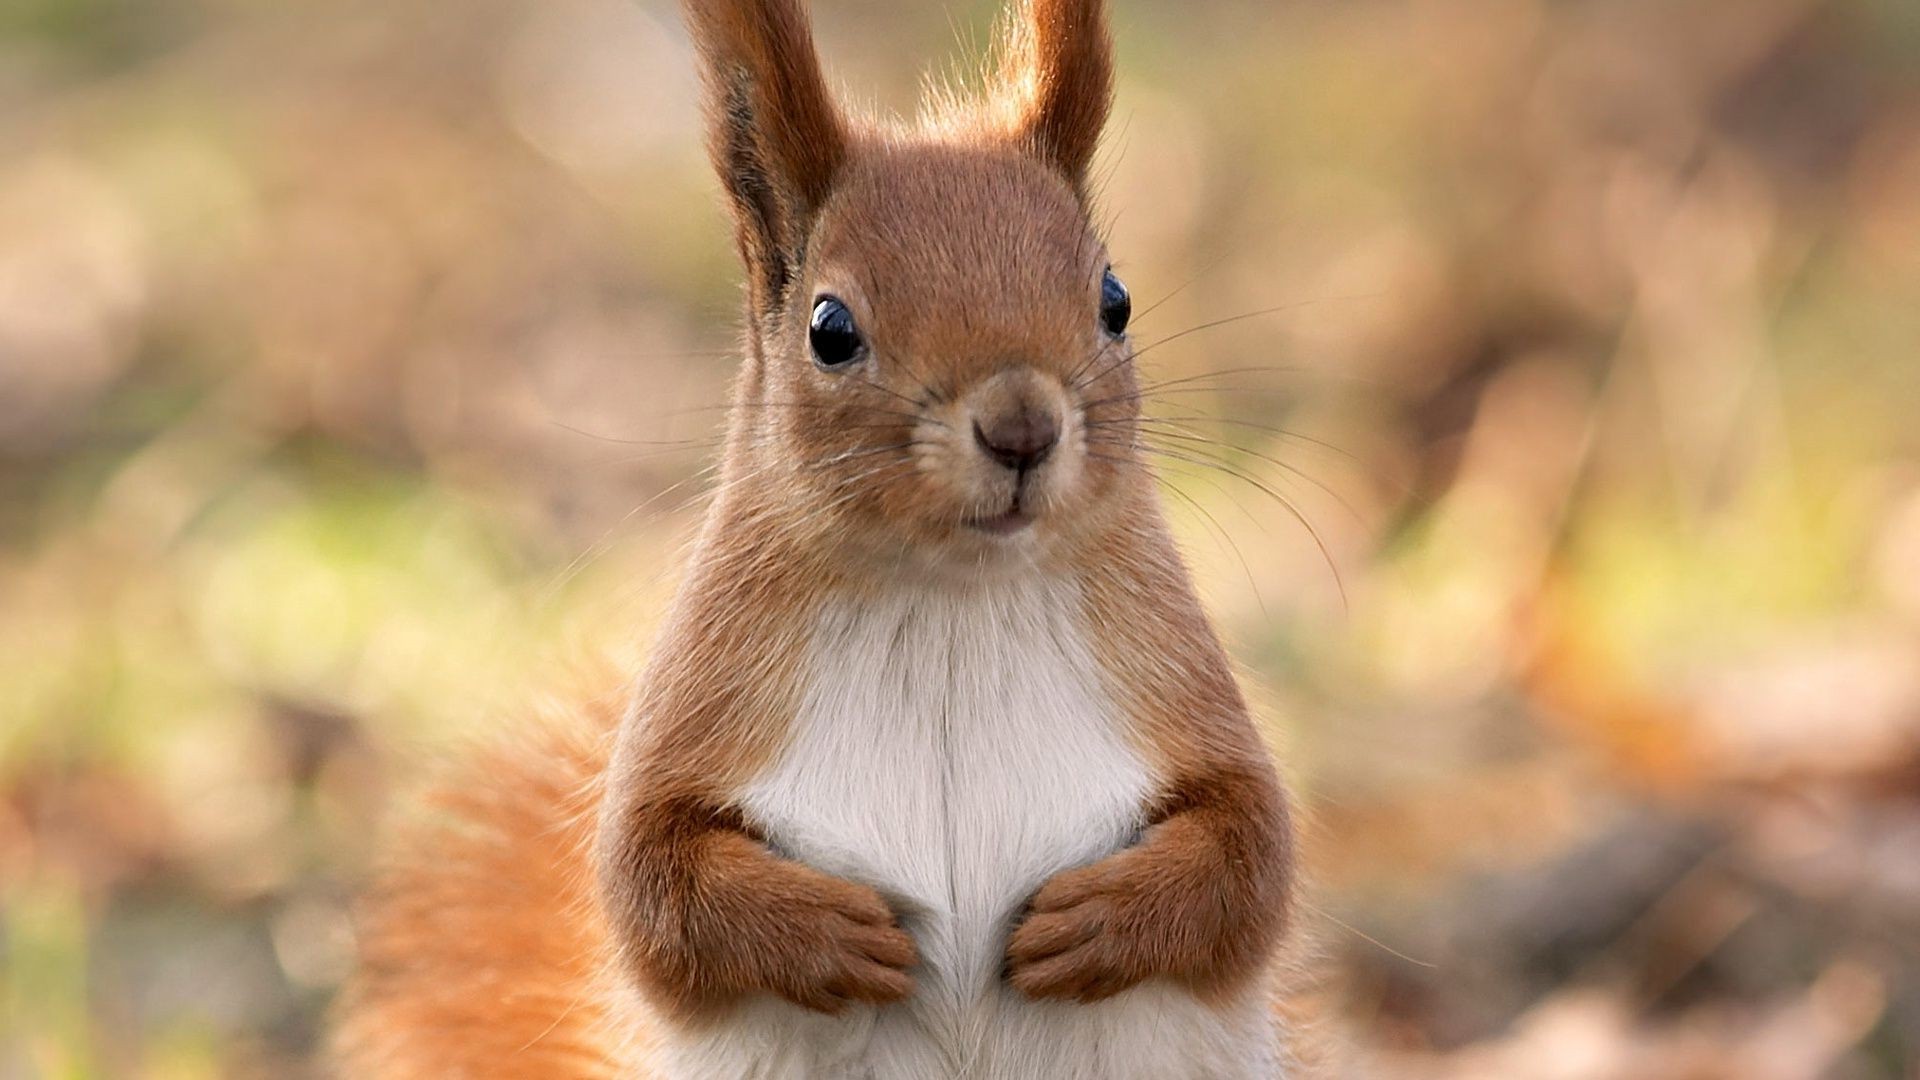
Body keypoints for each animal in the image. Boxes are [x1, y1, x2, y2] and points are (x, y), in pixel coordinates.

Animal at [337, 0, 1305, 1068]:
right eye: (830, 328)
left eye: (1116, 301)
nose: (1021, 427)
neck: (950, 600)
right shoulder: (699, 702)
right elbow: (647, 882)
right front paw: (833, 937)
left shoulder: (1173, 679)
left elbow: (1252, 855)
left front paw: (1090, 921)